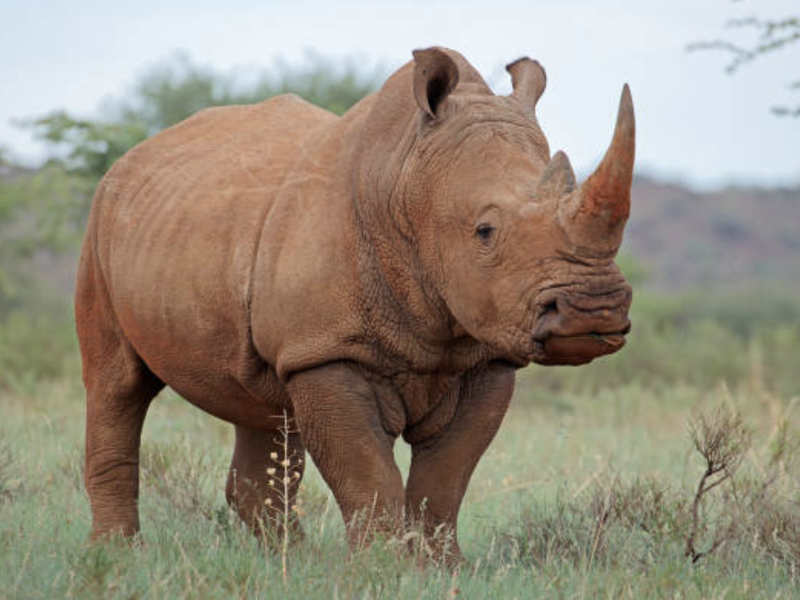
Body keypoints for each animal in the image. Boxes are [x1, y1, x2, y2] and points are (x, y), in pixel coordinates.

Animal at [76, 46, 635, 560]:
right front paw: (381, 570)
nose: (594, 311)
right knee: (116, 384)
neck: (408, 182)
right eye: (484, 231)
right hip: (102, 223)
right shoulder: (327, 350)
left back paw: (292, 563)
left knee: (264, 406)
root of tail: (134, 155)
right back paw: (117, 555)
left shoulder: (488, 351)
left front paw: (441, 571)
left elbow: (445, 480)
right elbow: (366, 475)